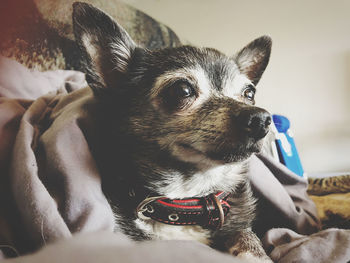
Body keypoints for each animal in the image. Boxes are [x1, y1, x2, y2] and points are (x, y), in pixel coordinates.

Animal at [72, 2, 272, 263]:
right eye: (182, 90)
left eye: (249, 93)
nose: (261, 119)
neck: (187, 200)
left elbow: (246, 234)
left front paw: (255, 254)